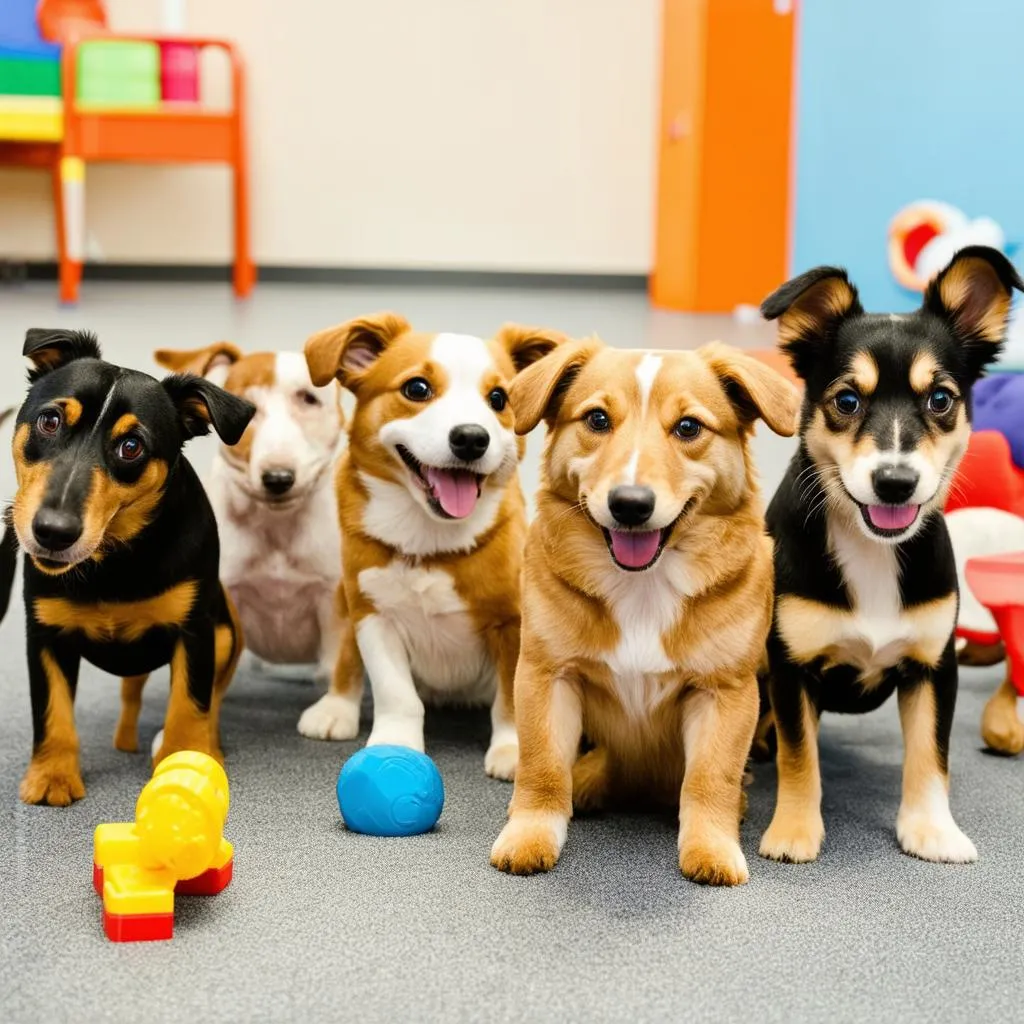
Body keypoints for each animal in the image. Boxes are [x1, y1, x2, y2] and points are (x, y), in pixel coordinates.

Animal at [1, 331, 254, 802]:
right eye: (50, 421)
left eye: (131, 447)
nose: (53, 532)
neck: (114, 560)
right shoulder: (44, 634)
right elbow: (53, 711)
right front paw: (52, 777)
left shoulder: (195, 631)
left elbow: (189, 706)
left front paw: (185, 766)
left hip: (226, 634)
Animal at [149, 344, 346, 737]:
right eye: (247, 410)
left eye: (309, 399)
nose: (278, 478)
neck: (276, 527)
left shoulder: (332, 599)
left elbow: (336, 663)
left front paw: (334, 709)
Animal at [301, 311, 569, 774]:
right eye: (417, 389)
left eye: (499, 398)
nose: (471, 438)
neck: (427, 537)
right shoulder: (374, 615)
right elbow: (396, 694)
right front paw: (395, 744)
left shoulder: (513, 622)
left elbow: (512, 699)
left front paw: (512, 749)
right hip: (344, 600)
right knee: (346, 658)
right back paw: (336, 706)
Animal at [487, 337, 798, 880]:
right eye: (596, 419)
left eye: (688, 427)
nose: (630, 504)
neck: (643, 586)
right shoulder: (546, 677)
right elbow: (542, 768)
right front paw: (530, 831)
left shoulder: (725, 693)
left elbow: (710, 779)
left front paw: (712, 845)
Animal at [757, 247, 1019, 864]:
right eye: (847, 401)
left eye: (940, 399)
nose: (895, 483)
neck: (871, 550)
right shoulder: (789, 665)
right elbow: (799, 755)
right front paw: (793, 830)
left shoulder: (934, 665)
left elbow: (930, 753)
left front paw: (932, 829)